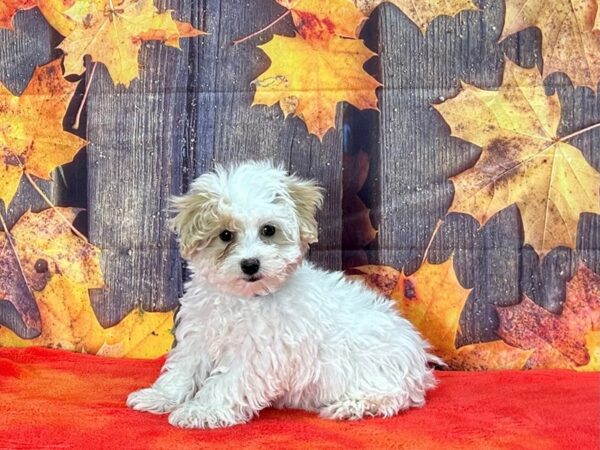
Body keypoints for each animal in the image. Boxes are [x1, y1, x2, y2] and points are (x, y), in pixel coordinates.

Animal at [126, 161, 438, 428]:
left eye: (268, 230)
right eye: (225, 235)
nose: (251, 264)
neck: (244, 298)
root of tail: (417, 357)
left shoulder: (257, 356)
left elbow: (227, 383)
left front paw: (201, 410)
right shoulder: (199, 337)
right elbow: (184, 368)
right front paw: (160, 396)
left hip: (376, 370)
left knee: (392, 397)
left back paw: (353, 405)